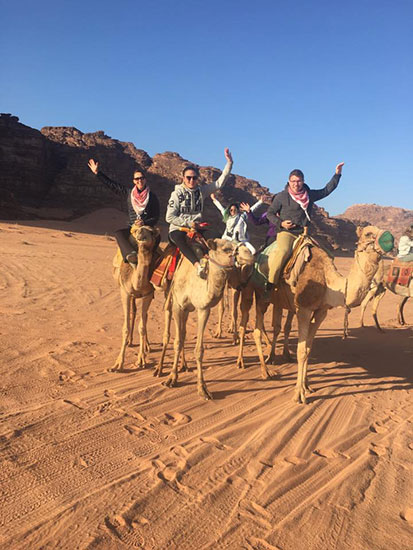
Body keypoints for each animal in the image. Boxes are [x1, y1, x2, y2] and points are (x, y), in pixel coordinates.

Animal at [112, 226, 159, 374]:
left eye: (151, 231)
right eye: (137, 230)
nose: (140, 232)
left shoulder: (148, 294)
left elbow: (142, 326)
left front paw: (141, 360)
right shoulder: (125, 293)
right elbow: (125, 327)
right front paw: (118, 364)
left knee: (145, 316)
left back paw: (147, 346)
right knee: (133, 311)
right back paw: (130, 341)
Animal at [155, 242, 254, 402]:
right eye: (226, 248)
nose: (249, 254)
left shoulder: (203, 308)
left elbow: (198, 349)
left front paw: (203, 389)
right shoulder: (178, 306)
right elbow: (177, 342)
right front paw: (171, 378)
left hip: (187, 310)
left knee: (183, 332)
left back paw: (184, 365)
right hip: (169, 298)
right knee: (168, 332)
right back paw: (159, 368)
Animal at [241, 225, 392, 406]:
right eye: (369, 233)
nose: (390, 239)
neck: (328, 282)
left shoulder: (321, 312)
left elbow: (308, 348)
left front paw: (307, 386)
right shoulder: (304, 309)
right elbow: (301, 351)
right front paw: (299, 394)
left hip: (278, 301)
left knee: (276, 326)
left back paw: (273, 358)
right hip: (256, 292)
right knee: (255, 327)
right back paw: (263, 371)